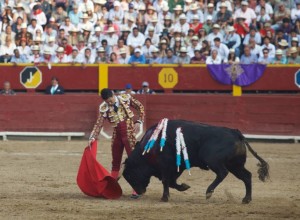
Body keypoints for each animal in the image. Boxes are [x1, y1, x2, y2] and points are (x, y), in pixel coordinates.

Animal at [122, 120, 270, 203]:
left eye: (129, 175)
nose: (139, 192)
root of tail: (236, 133)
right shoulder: (177, 167)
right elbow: (172, 182)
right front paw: (184, 186)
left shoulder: (166, 165)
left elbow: (166, 181)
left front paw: (164, 198)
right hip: (235, 165)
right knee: (246, 176)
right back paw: (246, 199)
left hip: (213, 160)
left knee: (222, 173)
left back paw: (209, 192)